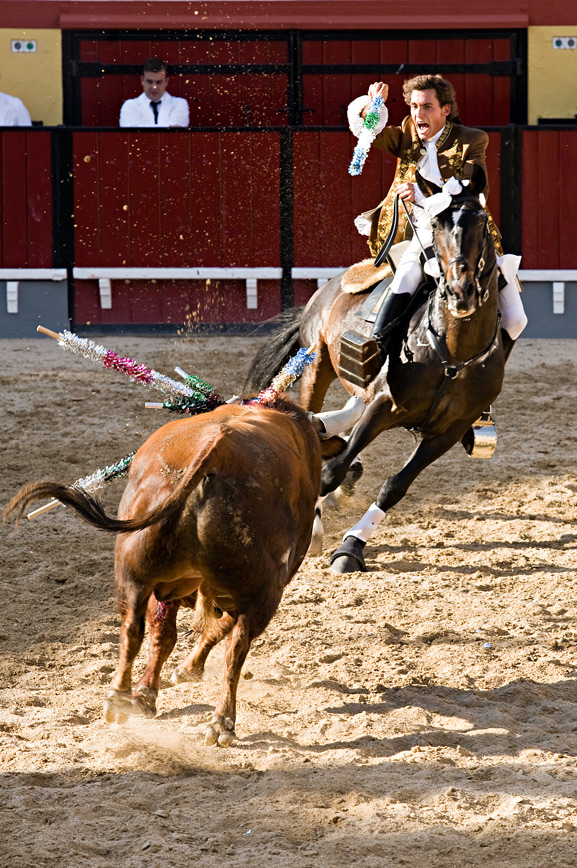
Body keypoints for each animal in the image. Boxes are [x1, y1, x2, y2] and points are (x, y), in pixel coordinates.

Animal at [4, 400, 322, 744]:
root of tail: (218, 449)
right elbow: (213, 630)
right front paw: (187, 671)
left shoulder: (168, 586)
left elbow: (163, 633)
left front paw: (147, 693)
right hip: (260, 593)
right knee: (236, 648)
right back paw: (221, 721)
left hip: (135, 574)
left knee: (133, 629)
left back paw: (119, 697)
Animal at [246, 168, 504, 576]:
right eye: (436, 224)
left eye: (480, 221)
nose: (460, 290)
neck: (453, 354)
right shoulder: (385, 404)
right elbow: (330, 472)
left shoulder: (448, 431)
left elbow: (393, 486)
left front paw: (351, 547)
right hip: (316, 364)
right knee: (311, 422)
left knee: (335, 420)